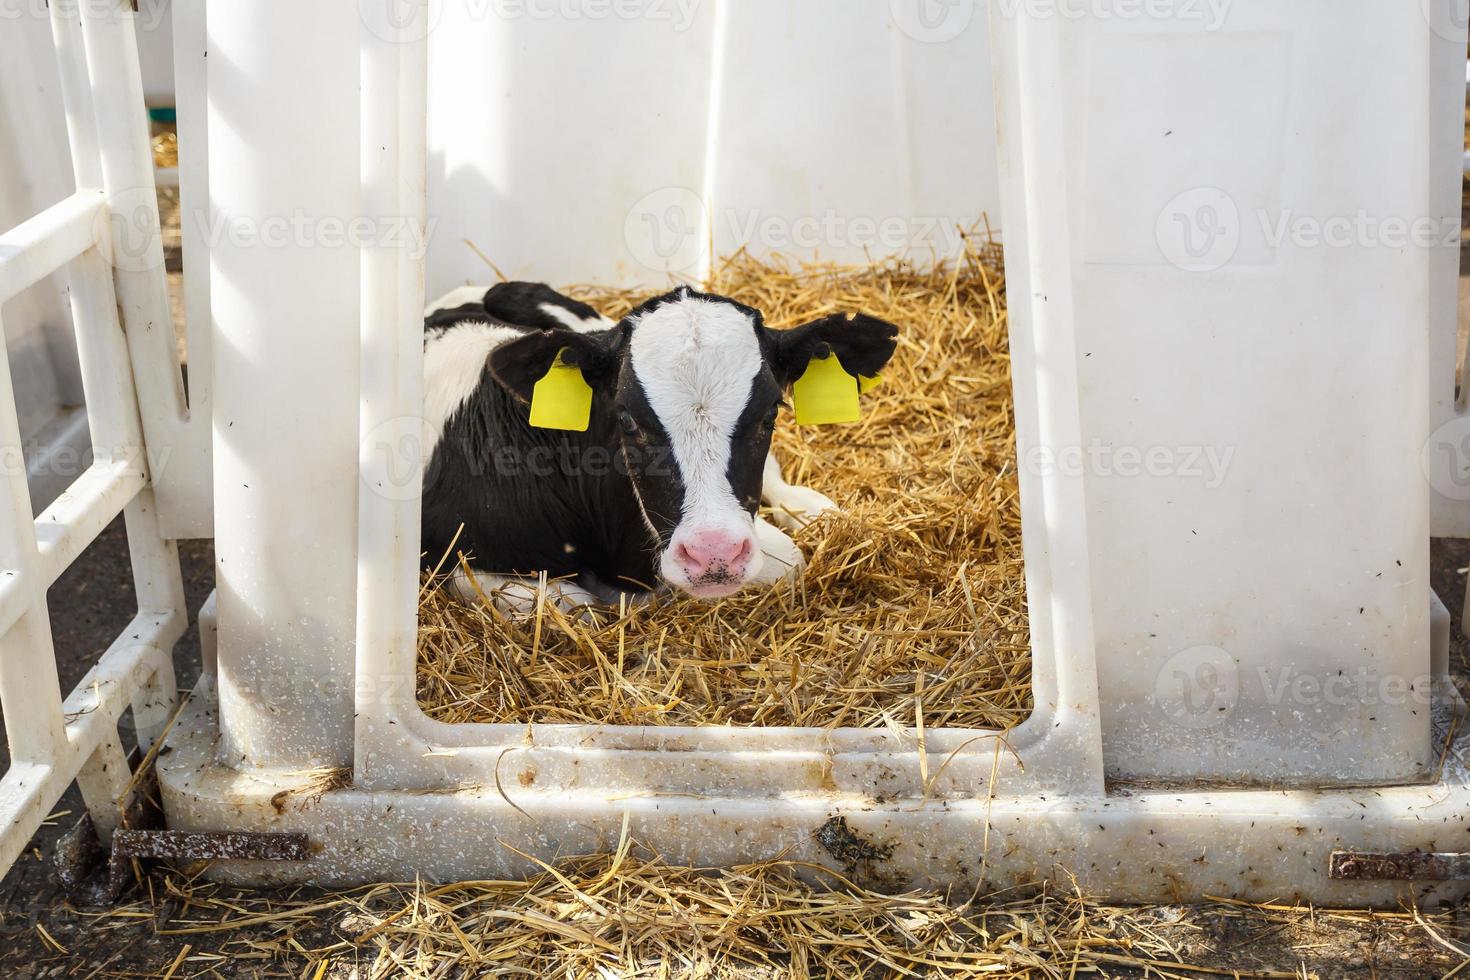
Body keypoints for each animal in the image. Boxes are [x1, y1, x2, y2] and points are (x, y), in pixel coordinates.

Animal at [417, 279, 893, 608]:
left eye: (772, 411)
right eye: (625, 417)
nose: (714, 555)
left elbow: (790, 559)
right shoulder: (457, 554)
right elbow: (568, 603)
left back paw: (815, 509)